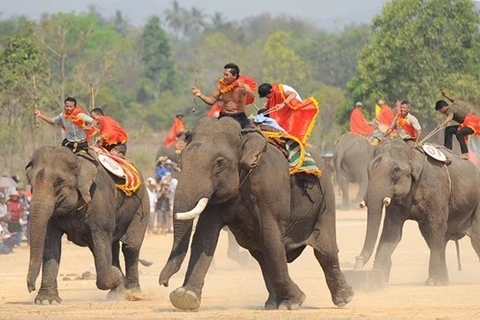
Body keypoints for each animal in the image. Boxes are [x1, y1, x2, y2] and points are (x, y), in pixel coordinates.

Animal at [23, 146, 148, 304]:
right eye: (30, 182)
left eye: (59, 182)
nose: (30, 288)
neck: (78, 159)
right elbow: (51, 243)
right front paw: (47, 301)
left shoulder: (99, 200)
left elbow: (101, 238)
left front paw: (117, 276)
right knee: (111, 247)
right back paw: (117, 293)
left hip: (142, 205)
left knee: (130, 246)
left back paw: (133, 293)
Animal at [159, 117, 354, 310]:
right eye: (181, 159)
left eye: (219, 162)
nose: (164, 283)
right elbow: (204, 236)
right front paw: (185, 297)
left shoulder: (267, 188)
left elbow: (271, 238)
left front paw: (294, 302)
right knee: (260, 254)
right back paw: (272, 304)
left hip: (325, 196)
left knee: (324, 250)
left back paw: (344, 298)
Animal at [356, 138, 480, 284]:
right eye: (368, 169)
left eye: (396, 169)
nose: (357, 261)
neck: (413, 153)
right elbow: (392, 231)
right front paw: (378, 279)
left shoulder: (437, 189)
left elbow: (436, 226)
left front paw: (435, 283)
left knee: (475, 238)